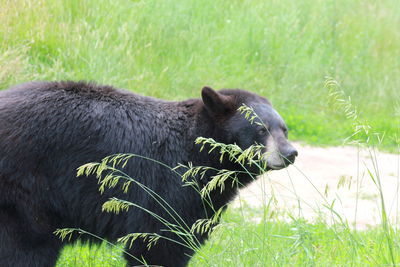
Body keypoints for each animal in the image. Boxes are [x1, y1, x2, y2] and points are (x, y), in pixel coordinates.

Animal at [0, 81, 296, 267]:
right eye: (261, 129)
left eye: (284, 129)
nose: (290, 153)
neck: (199, 151)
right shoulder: (167, 186)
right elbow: (160, 245)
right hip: (28, 190)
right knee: (26, 248)